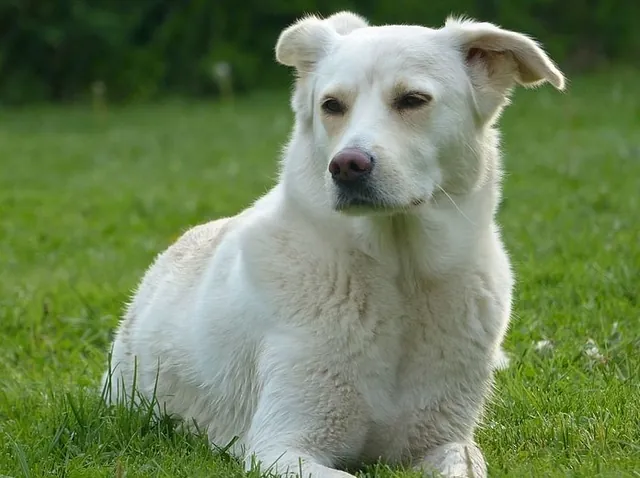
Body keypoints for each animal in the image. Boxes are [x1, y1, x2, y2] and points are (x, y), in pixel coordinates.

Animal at [101, 11, 564, 478]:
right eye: (331, 106)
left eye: (412, 100)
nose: (346, 166)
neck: (400, 276)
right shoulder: (281, 446)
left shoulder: (447, 442)